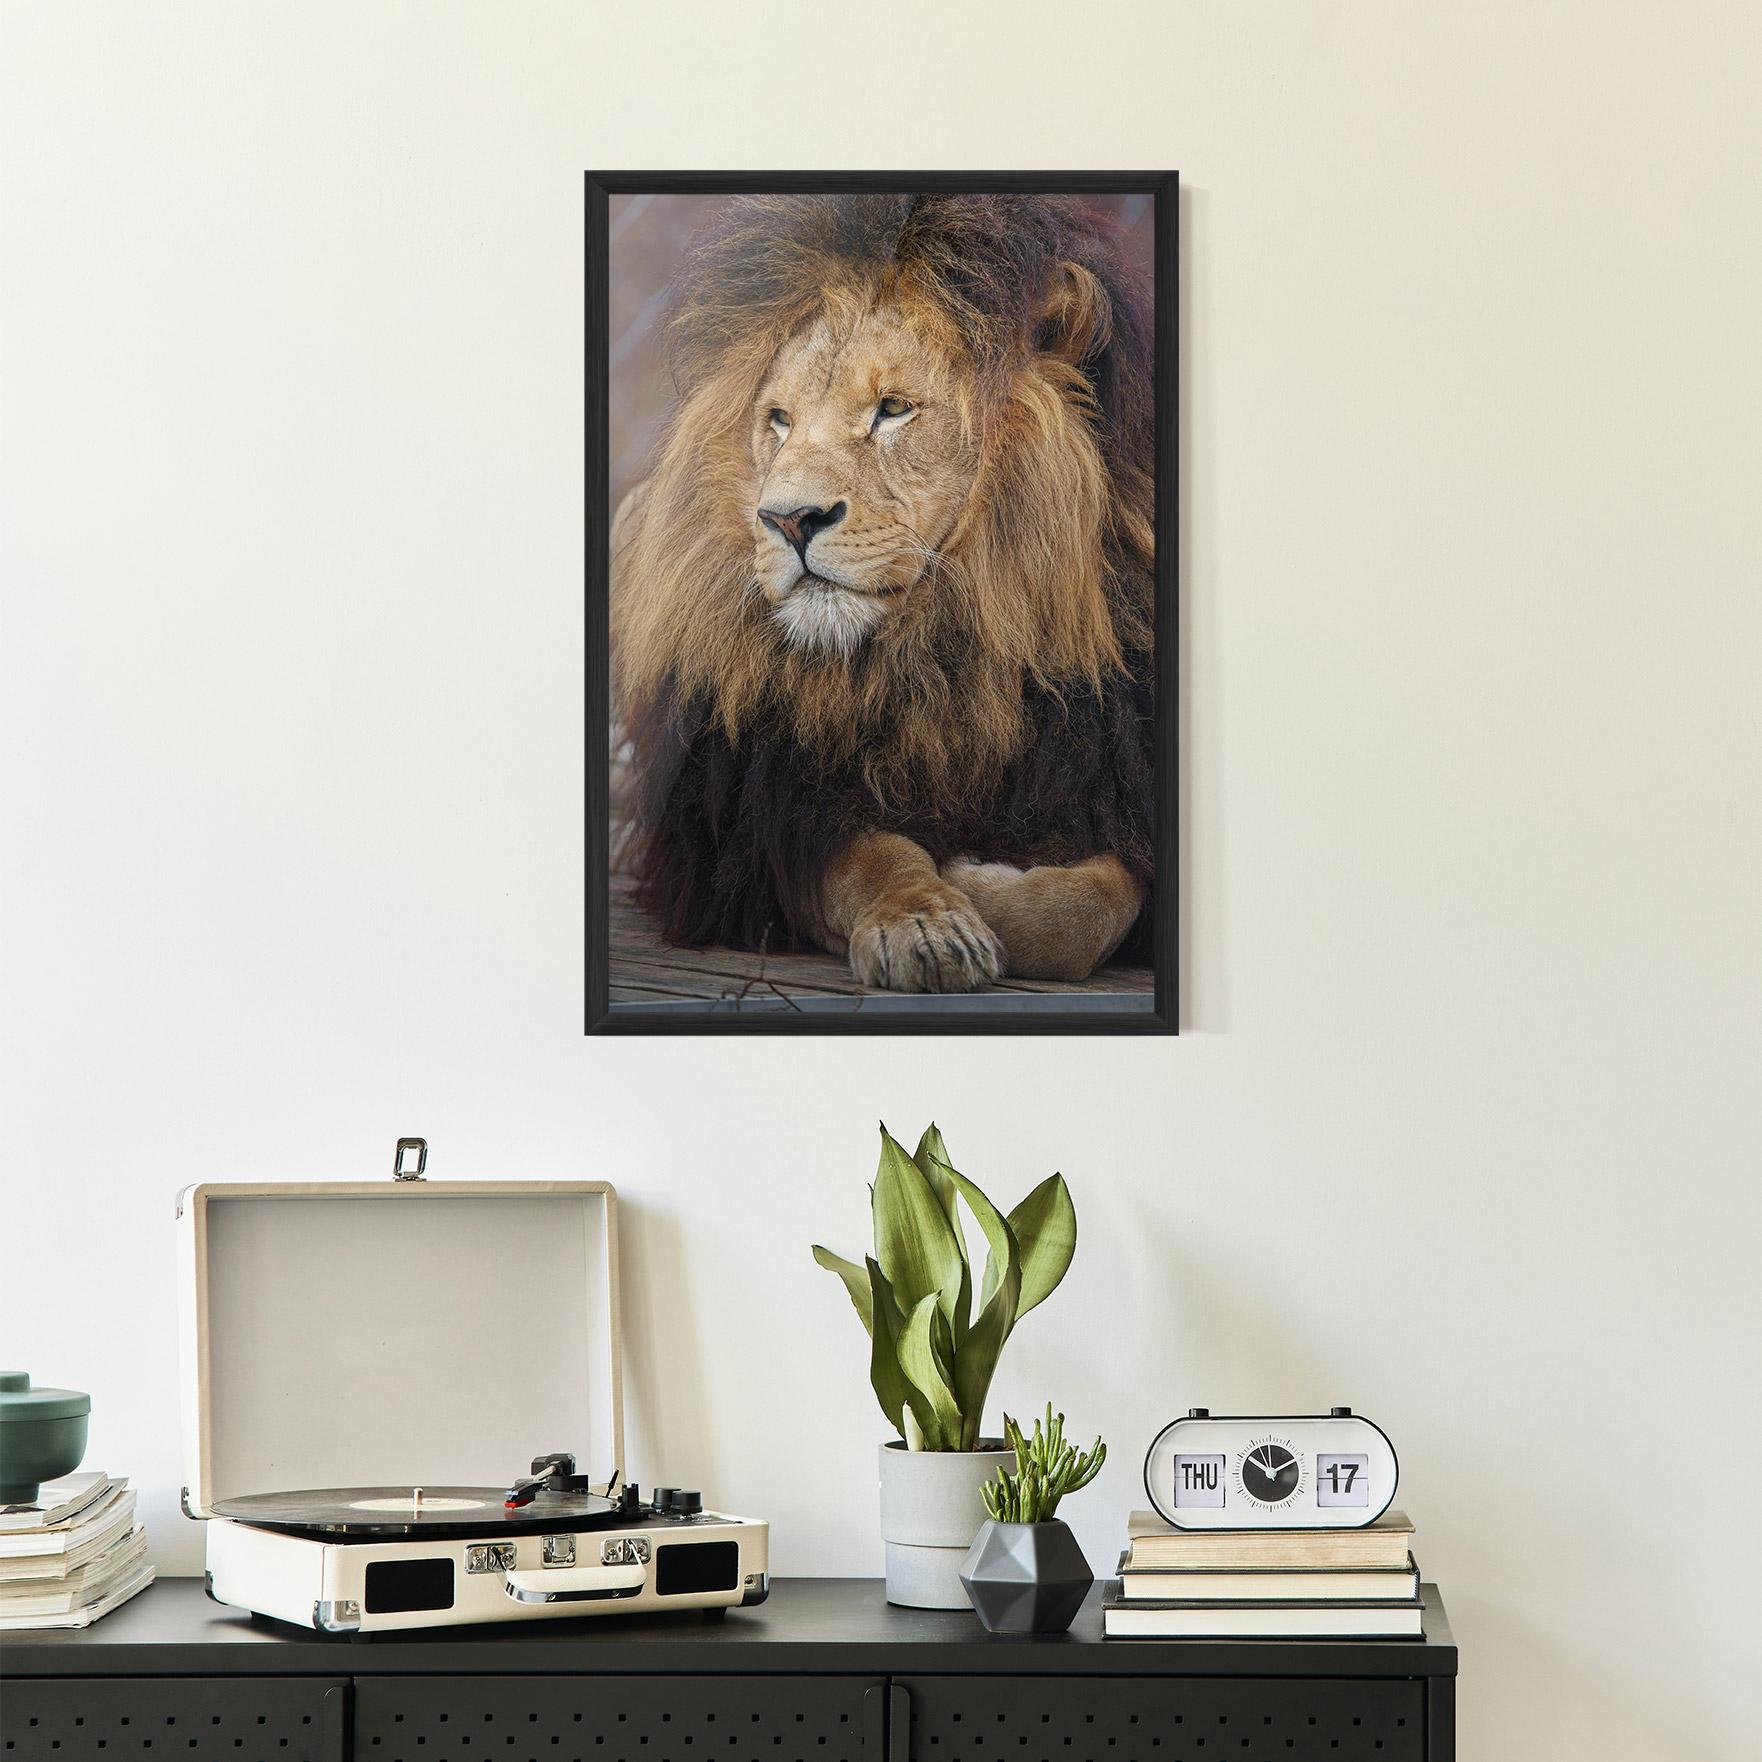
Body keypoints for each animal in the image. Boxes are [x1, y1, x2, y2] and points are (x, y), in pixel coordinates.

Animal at [611, 193, 1156, 993]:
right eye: (779, 421)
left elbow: (1089, 910)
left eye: (893, 409)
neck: (943, 656)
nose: (787, 519)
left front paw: (982, 877)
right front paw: (929, 922)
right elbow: (873, 860)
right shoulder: (762, 821)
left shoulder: (1109, 785)